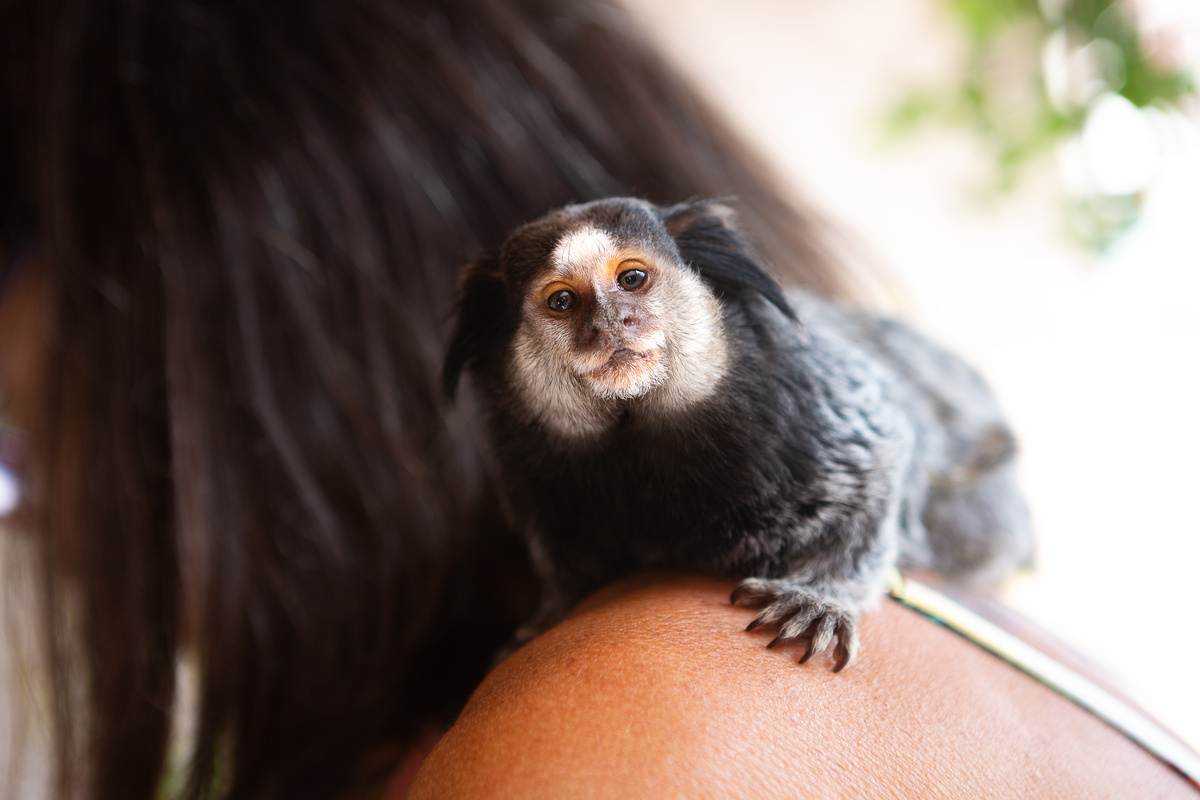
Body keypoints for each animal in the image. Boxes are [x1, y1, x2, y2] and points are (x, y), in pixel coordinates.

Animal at [444, 199, 1032, 671]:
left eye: (632, 280)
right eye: (562, 302)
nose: (612, 324)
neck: (636, 434)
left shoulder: (808, 401)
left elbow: (880, 463)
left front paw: (818, 598)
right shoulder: (533, 468)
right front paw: (547, 615)